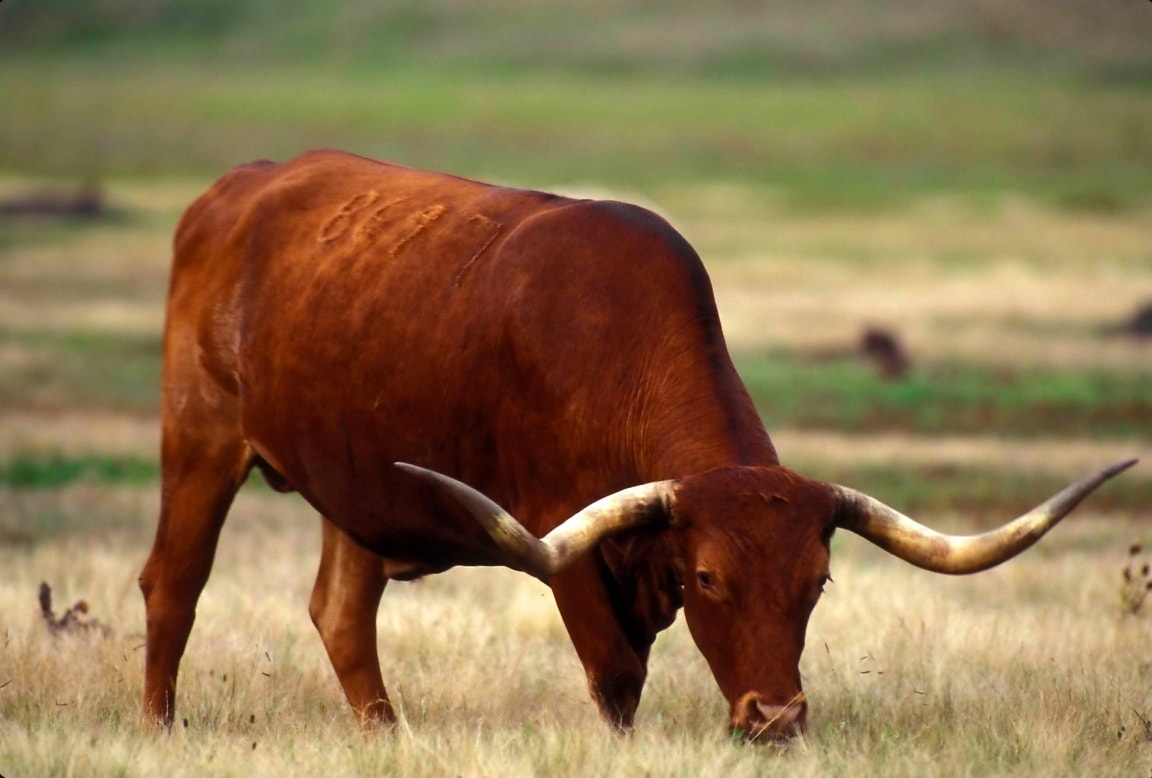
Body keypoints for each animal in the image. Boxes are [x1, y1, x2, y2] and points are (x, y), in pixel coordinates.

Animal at [141, 152, 1133, 742]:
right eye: (709, 579)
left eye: (818, 582)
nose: (776, 716)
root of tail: (238, 186)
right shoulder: (563, 538)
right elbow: (616, 675)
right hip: (200, 439)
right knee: (174, 586)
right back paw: (159, 729)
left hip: (350, 484)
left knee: (343, 615)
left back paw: (390, 738)